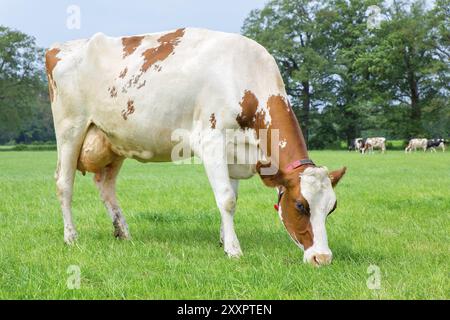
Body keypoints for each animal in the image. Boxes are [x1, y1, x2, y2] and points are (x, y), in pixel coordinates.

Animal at [45, 27, 346, 266]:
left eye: (331, 207)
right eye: (300, 205)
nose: (322, 258)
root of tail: (59, 47)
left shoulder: (234, 153)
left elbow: (232, 198)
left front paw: (224, 240)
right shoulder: (212, 142)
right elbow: (226, 198)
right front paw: (234, 250)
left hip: (113, 140)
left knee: (105, 186)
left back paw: (123, 233)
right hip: (70, 129)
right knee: (64, 184)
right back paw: (71, 237)